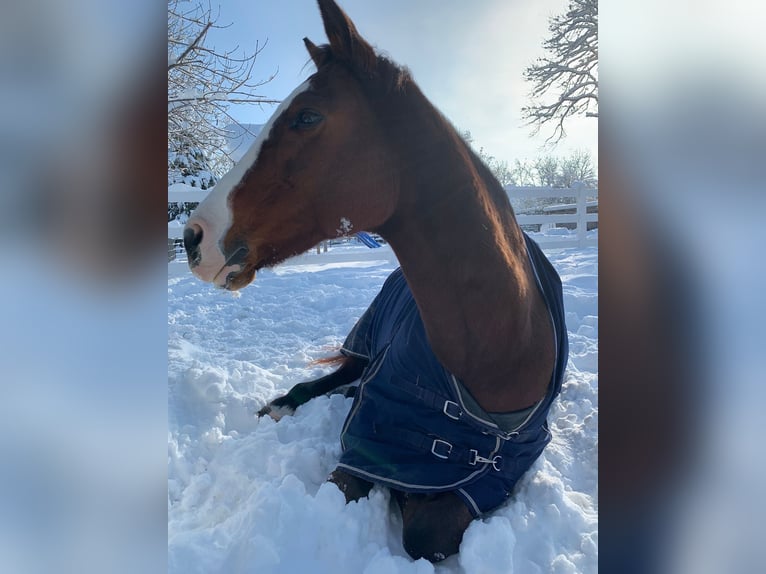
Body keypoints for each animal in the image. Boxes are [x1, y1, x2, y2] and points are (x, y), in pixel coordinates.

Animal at [183, 0, 568, 564]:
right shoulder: (367, 446)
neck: (500, 348)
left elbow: (430, 532)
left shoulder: (498, 474)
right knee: (332, 379)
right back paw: (284, 404)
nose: (194, 238)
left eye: (307, 117)